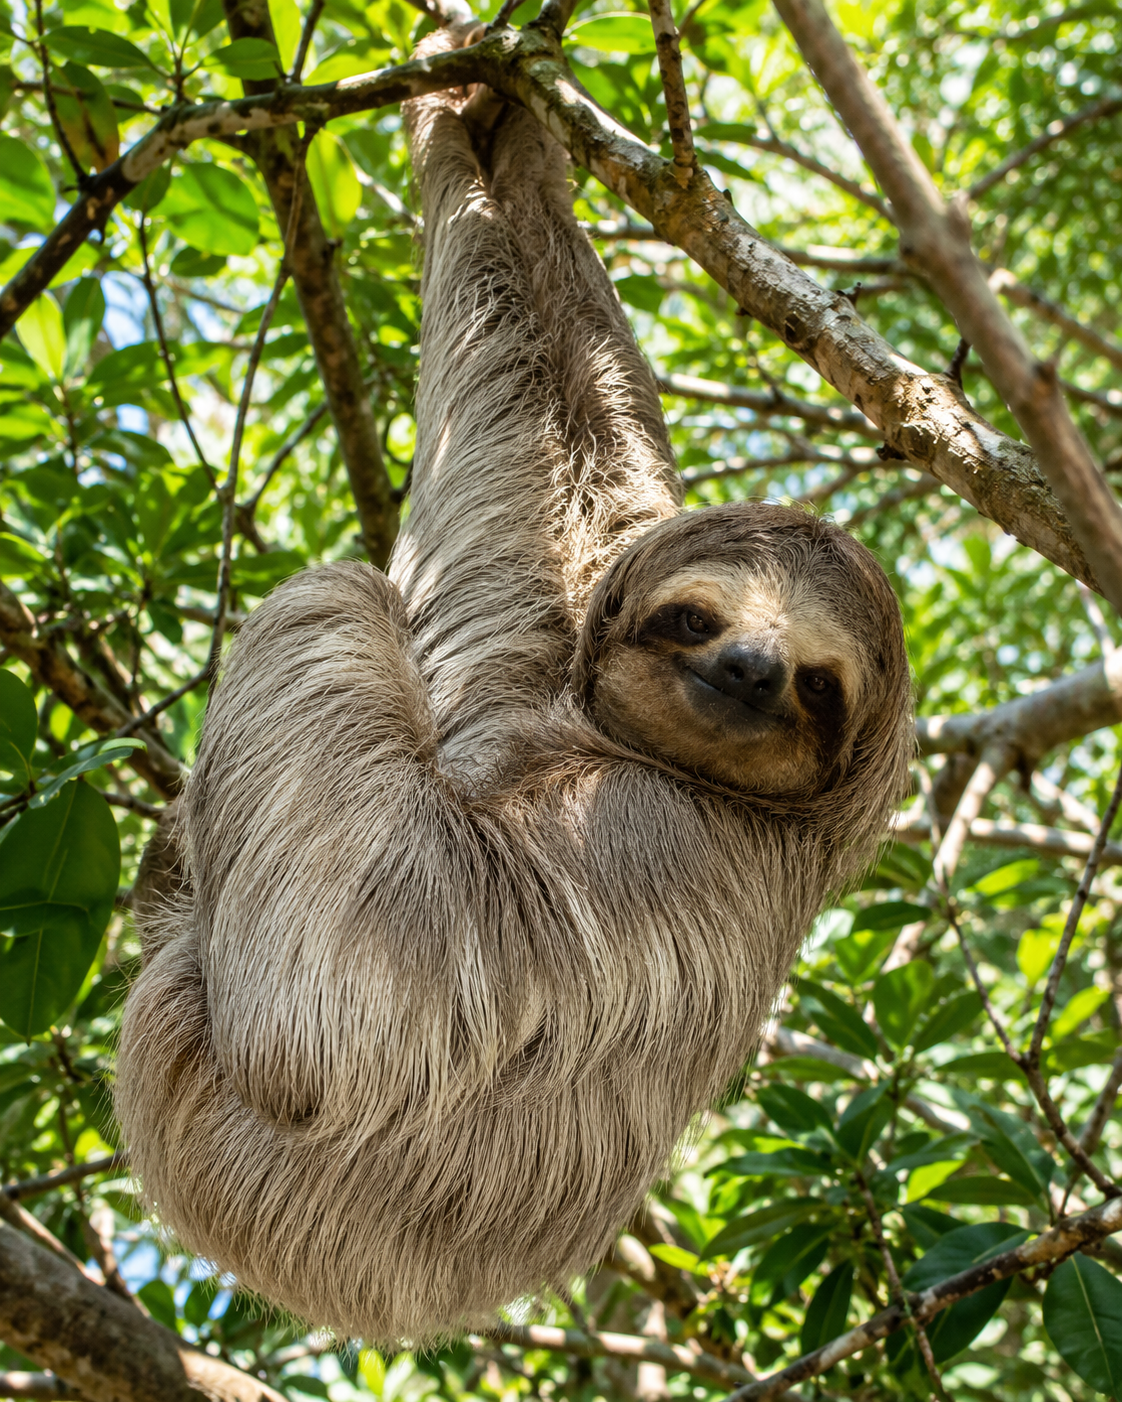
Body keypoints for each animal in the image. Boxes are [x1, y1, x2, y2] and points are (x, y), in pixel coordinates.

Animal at [114, 31, 912, 1347]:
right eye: (695, 617)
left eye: (817, 686)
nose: (746, 670)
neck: (618, 752)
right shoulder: (552, 614)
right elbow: (547, 399)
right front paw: (486, 112)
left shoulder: (645, 836)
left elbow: (334, 1003)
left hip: (219, 1131)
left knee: (326, 603)